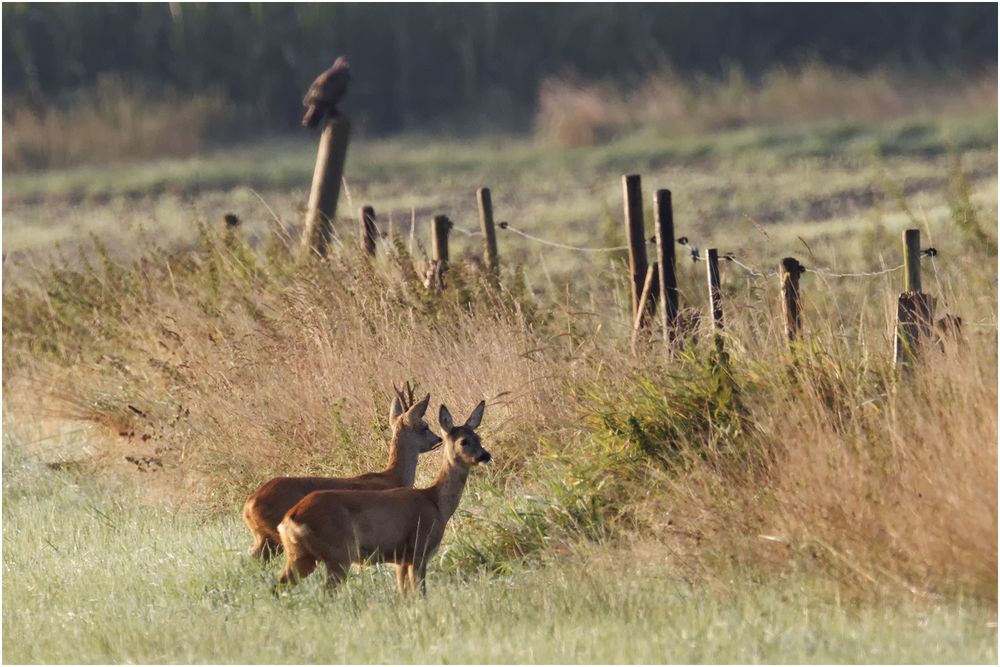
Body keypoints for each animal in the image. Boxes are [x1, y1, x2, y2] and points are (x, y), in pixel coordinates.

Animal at [240, 384, 440, 560]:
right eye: (425, 426)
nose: (438, 439)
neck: (393, 476)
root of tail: (248, 505)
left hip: (263, 537)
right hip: (275, 536)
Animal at [276, 400, 490, 596]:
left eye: (478, 437)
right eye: (463, 441)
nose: (485, 455)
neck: (436, 503)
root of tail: (289, 519)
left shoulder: (401, 559)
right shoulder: (418, 549)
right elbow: (421, 593)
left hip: (300, 555)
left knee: (277, 588)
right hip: (339, 553)